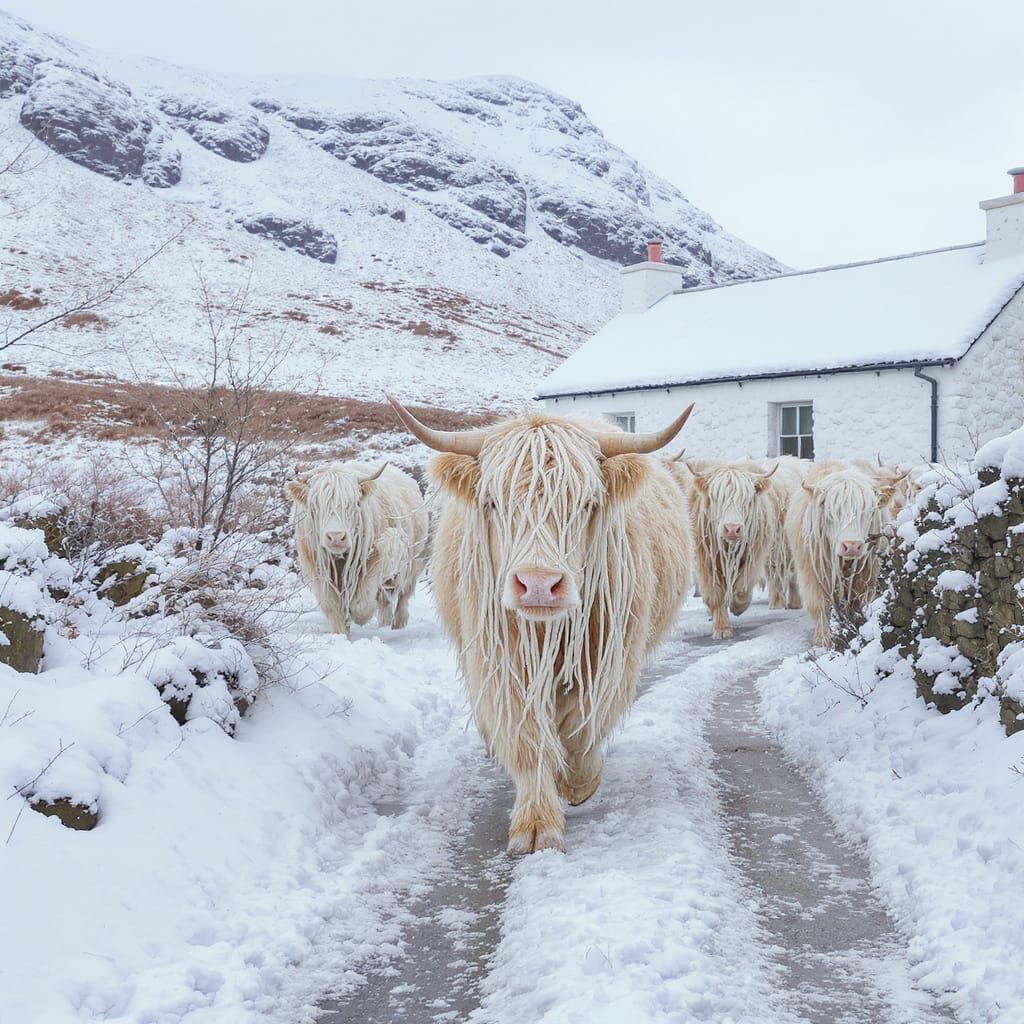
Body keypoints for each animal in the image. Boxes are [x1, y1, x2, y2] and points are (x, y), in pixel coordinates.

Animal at [285, 461, 428, 635]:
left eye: (353, 504)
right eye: (315, 506)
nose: (336, 537)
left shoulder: (384, 551)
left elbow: (362, 604)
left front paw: (358, 616)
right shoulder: (315, 567)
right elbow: (332, 606)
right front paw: (340, 634)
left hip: (412, 566)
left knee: (402, 597)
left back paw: (397, 627)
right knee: (385, 602)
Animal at [388, 396, 694, 855]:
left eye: (587, 503)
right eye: (492, 503)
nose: (538, 585)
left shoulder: (611, 656)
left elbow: (584, 721)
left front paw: (579, 782)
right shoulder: (503, 661)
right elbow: (528, 736)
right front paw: (536, 824)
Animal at [686, 458, 779, 639]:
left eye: (746, 500)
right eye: (717, 499)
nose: (732, 528)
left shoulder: (754, 556)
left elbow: (743, 586)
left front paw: (737, 607)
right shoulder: (706, 561)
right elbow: (715, 593)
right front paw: (722, 628)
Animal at [786, 460, 907, 647]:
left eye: (868, 511)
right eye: (832, 512)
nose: (851, 546)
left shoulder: (866, 575)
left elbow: (858, 604)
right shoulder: (813, 572)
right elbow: (820, 605)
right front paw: (823, 640)